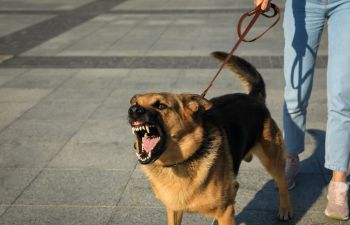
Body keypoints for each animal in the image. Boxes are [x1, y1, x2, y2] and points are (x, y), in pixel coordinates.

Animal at [127, 51, 292, 224]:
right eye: (135, 103)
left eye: (160, 106)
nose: (133, 110)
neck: (181, 161)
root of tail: (253, 97)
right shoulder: (173, 209)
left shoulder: (225, 212)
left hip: (272, 161)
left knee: (282, 183)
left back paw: (286, 209)